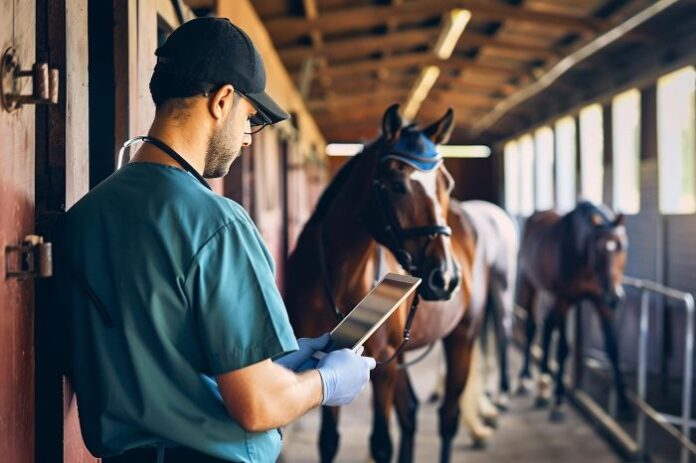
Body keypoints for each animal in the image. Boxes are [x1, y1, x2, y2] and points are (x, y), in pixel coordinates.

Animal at [284, 104, 486, 463]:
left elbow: (380, 443)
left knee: (448, 418)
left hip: (462, 336)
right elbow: (328, 440)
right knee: (409, 413)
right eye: (396, 185)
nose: (446, 278)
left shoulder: (382, 367)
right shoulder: (335, 362)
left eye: (447, 185)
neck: (341, 276)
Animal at [516, 201, 629, 421]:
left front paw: (624, 404)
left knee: (548, 325)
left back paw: (543, 384)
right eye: (597, 251)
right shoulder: (565, 298)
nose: (614, 297)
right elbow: (561, 349)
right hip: (530, 283)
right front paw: (559, 401)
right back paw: (527, 379)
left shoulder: (599, 300)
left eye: (622, 246)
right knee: (534, 327)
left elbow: (613, 348)